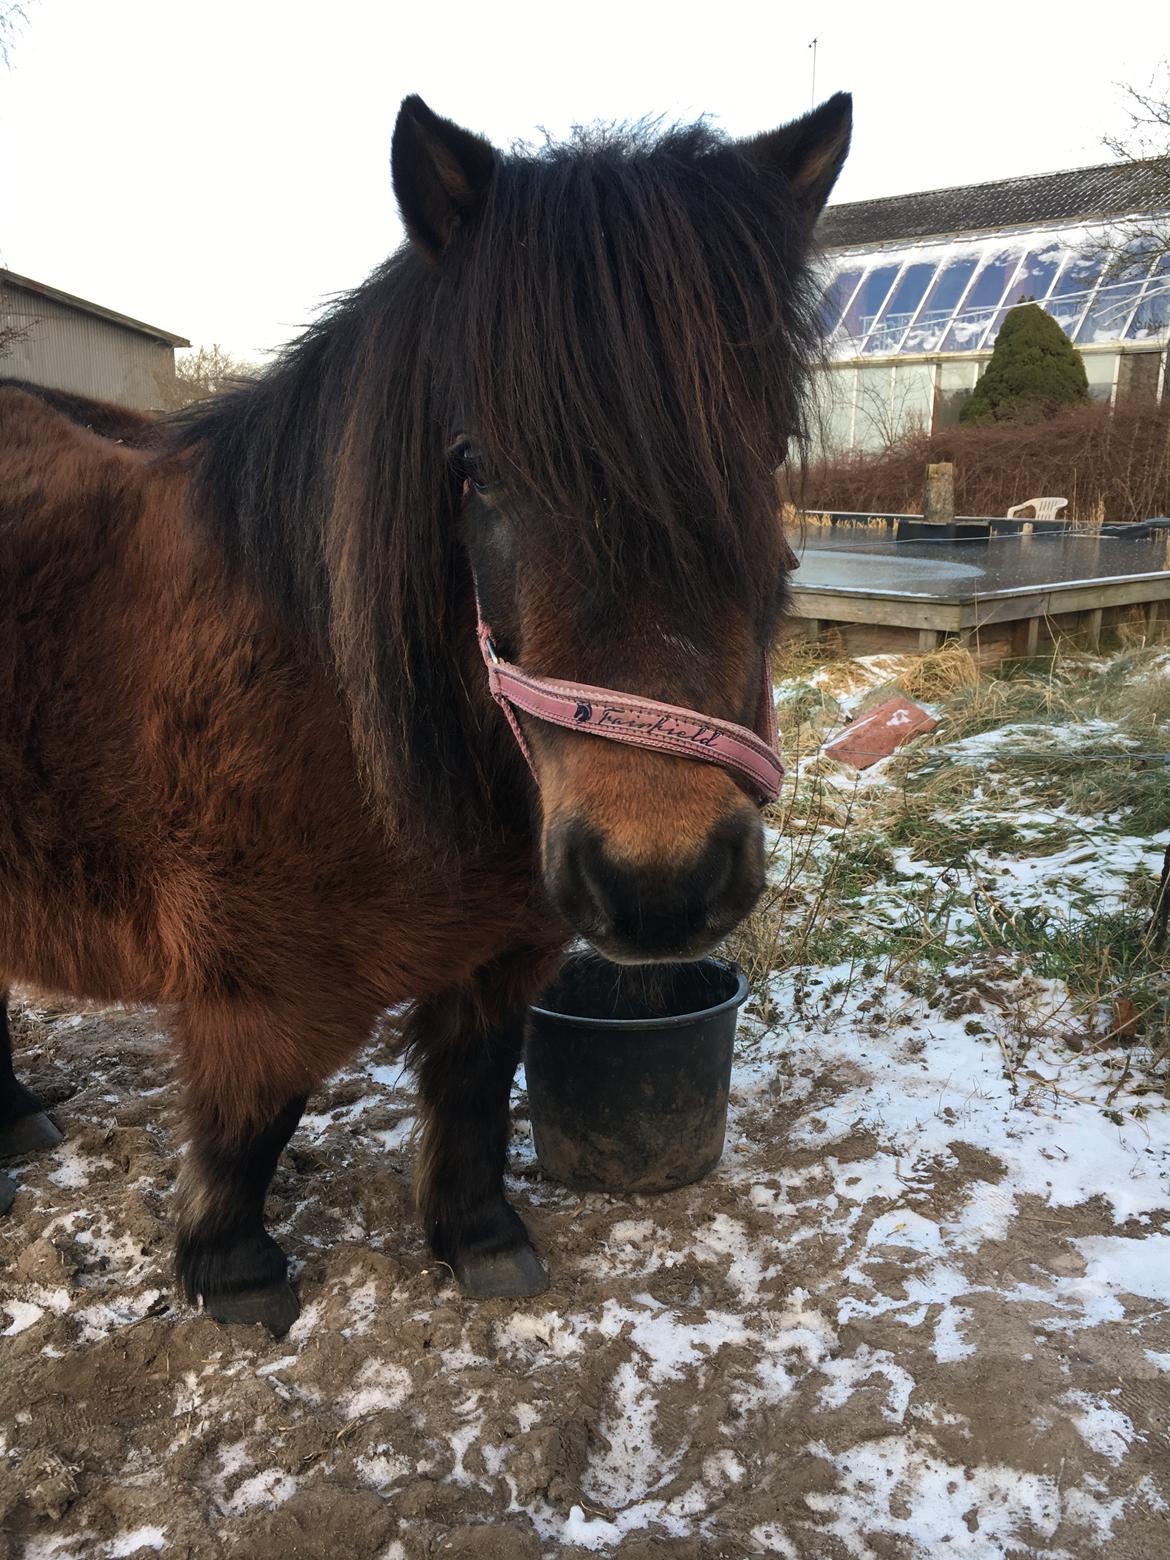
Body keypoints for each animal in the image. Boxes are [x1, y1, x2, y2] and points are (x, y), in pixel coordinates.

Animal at [4, 88, 854, 1329]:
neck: (332, 698)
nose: (660, 882)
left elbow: (472, 1087)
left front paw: (477, 1237)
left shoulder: (503, 943)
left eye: (771, 446)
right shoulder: (257, 978)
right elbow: (252, 1117)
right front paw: (234, 1271)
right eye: (473, 466)